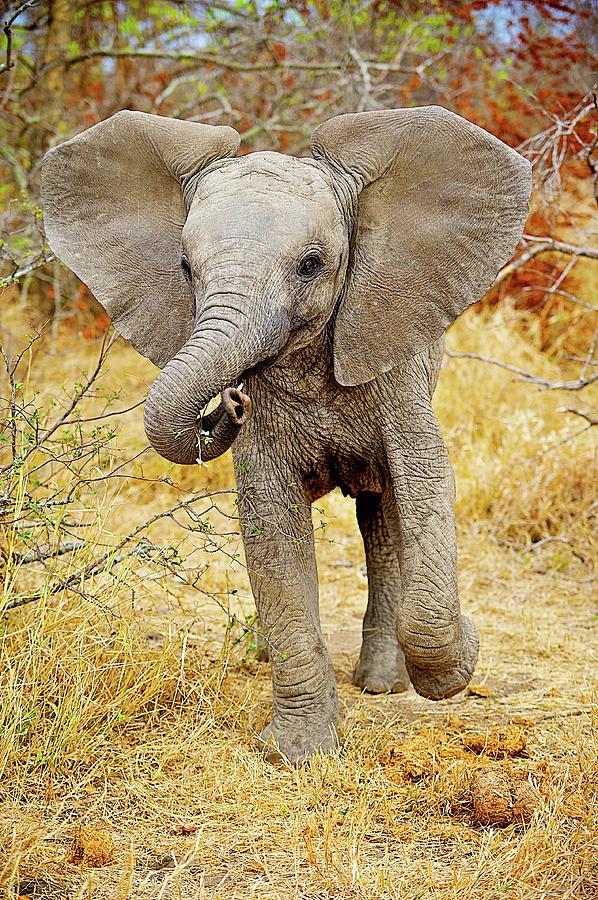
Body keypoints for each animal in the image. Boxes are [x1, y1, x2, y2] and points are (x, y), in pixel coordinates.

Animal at [39, 109, 532, 764]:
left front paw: (461, 658)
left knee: (381, 516)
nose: (231, 402)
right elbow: (272, 526)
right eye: (186, 269)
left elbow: (423, 483)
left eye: (311, 264)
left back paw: (382, 682)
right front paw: (300, 753)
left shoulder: (397, 367)